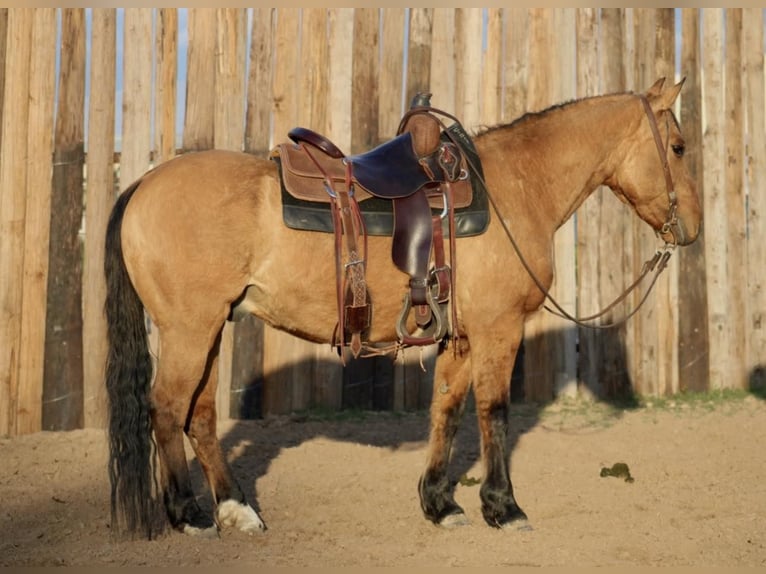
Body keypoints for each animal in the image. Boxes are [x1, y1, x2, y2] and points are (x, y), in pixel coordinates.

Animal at [102, 77, 704, 540]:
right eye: (677, 147)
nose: (693, 229)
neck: (514, 187)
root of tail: (142, 183)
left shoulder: (462, 336)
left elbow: (447, 410)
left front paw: (441, 504)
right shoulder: (499, 329)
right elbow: (495, 412)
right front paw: (504, 508)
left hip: (210, 327)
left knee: (200, 417)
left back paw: (237, 510)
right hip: (189, 329)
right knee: (166, 410)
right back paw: (189, 515)